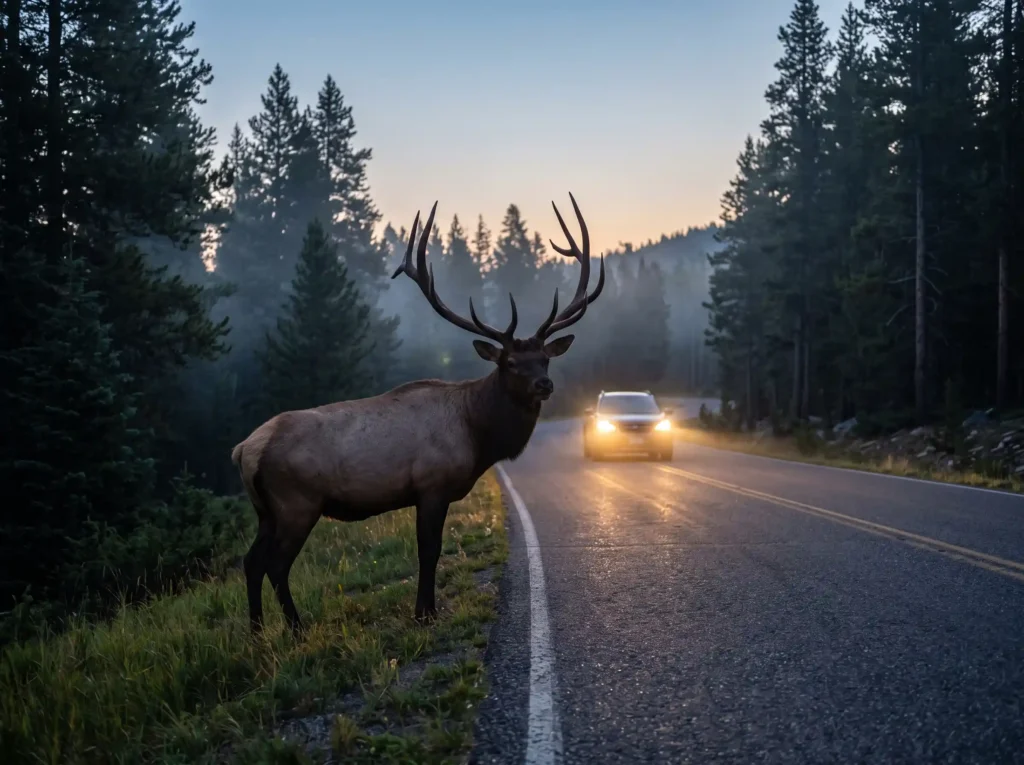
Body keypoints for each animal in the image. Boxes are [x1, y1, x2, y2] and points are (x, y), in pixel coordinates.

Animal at [230, 193, 604, 636]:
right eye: (510, 363)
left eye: (545, 359)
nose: (544, 385)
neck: (478, 434)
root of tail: (244, 450)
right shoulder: (432, 485)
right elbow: (430, 550)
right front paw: (425, 611)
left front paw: (425, 609)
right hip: (296, 502)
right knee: (275, 564)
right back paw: (295, 628)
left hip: (265, 510)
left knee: (251, 561)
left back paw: (256, 631)